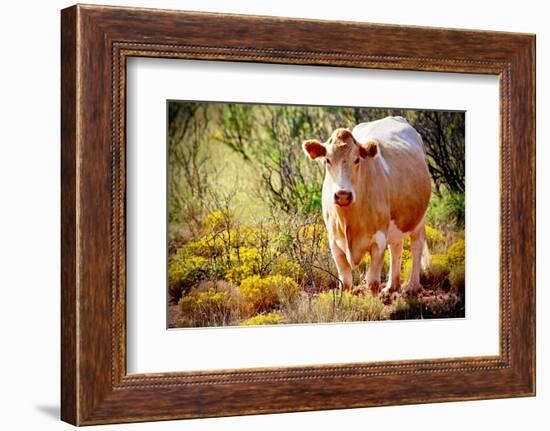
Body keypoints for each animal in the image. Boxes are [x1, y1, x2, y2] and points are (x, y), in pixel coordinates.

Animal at [304, 116, 434, 296]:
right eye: (327, 160)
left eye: (357, 159)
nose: (343, 195)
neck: (349, 221)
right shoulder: (334, 242)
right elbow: (345, 283)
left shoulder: (379, 239)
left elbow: (372, 282)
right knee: (396, 247)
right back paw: (392, 286)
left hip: (419, 218)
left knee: (416, 244)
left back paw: (412, 286)